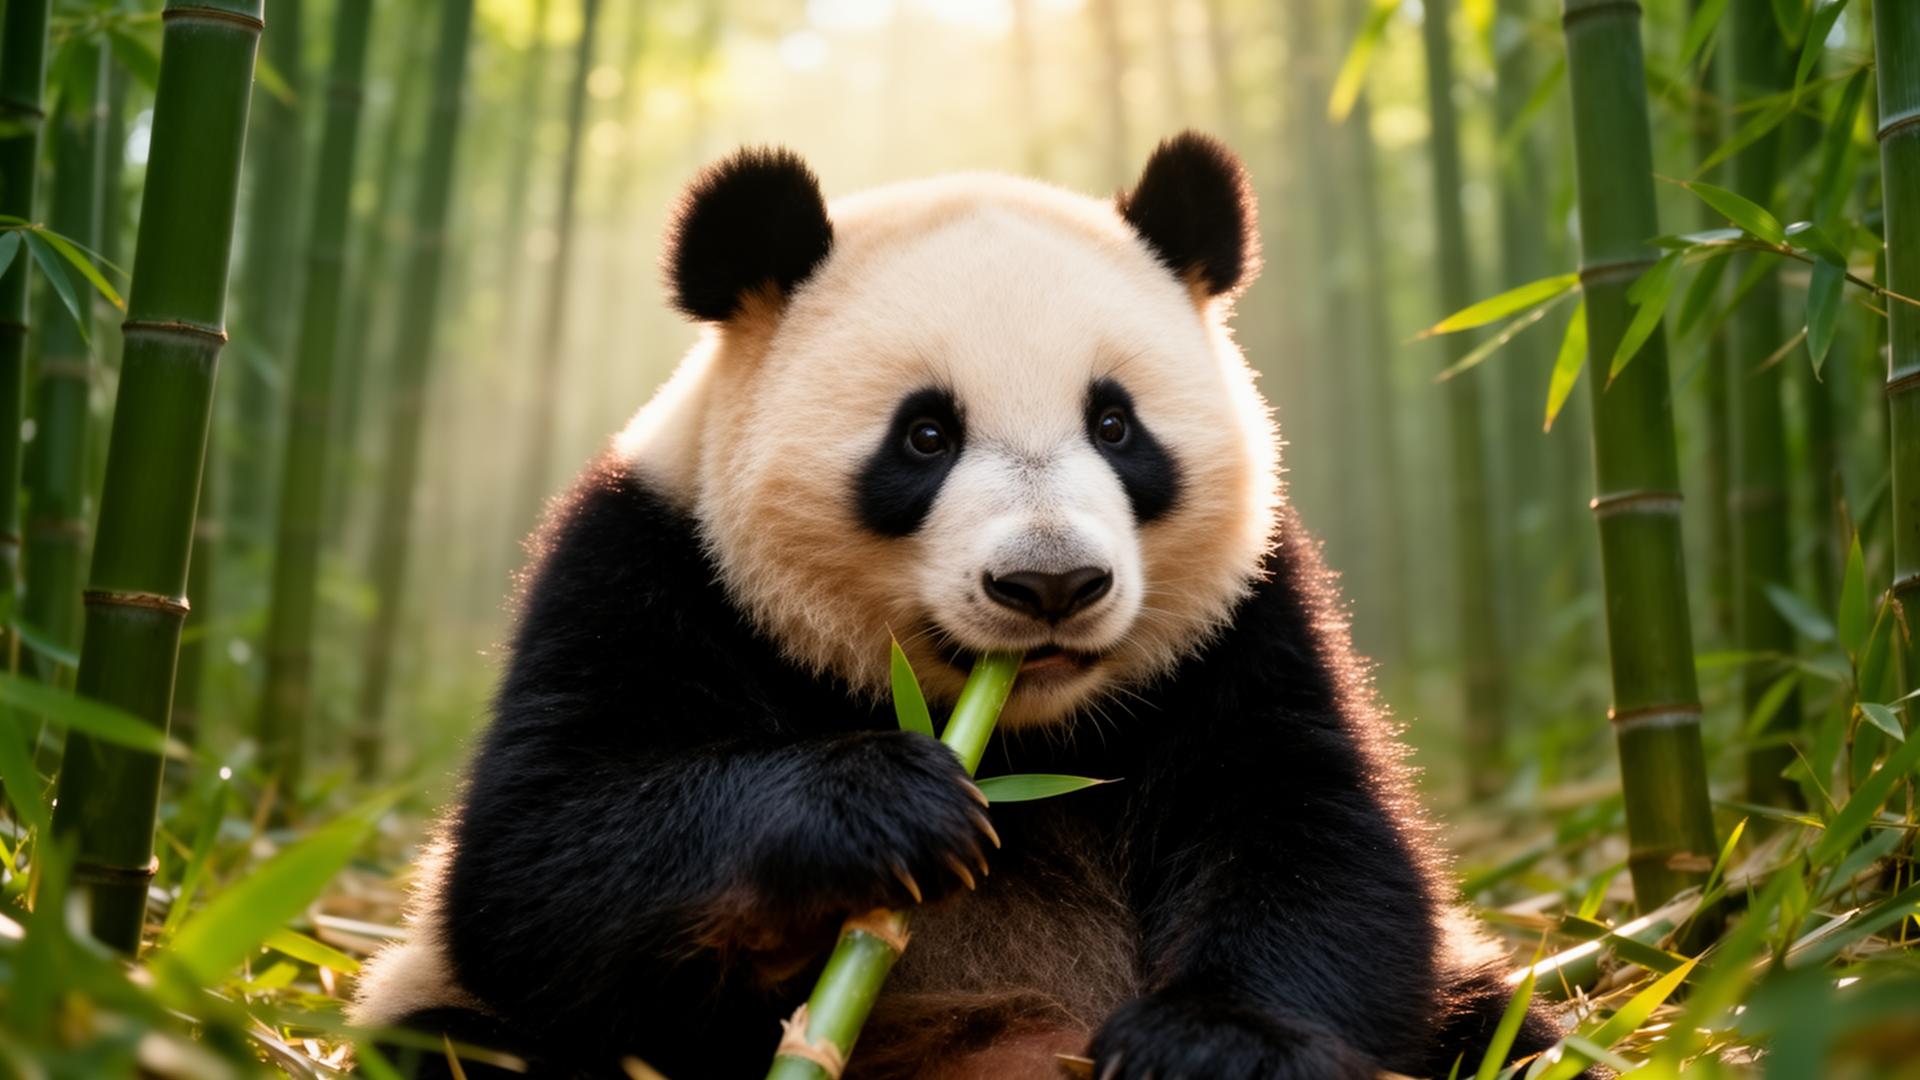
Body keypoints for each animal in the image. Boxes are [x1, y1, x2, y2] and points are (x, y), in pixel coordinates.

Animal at [351, 132, 1568, 1080]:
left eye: (1116, 426)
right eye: (925, 436)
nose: (1051, 584)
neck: (1018, 733)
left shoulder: (1245, 621)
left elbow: (1310, 833)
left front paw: (1216, 1043)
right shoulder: (642, 563)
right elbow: (542, 856)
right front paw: (884, 808)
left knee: (1501, 1024)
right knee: (462, 1036)